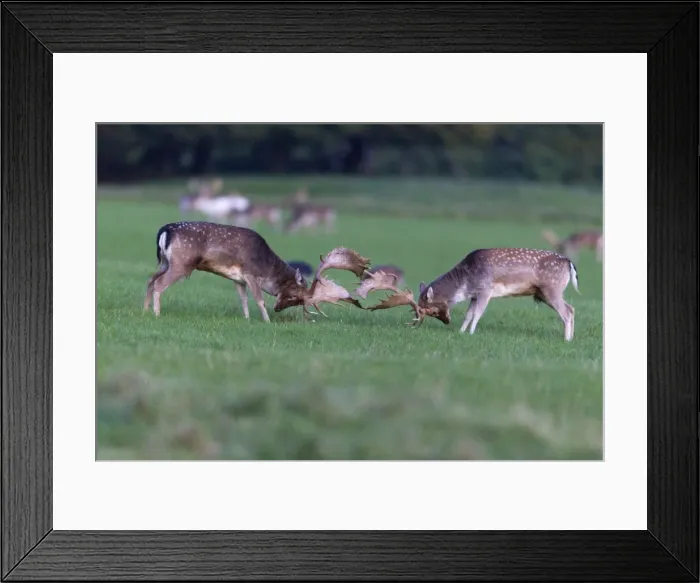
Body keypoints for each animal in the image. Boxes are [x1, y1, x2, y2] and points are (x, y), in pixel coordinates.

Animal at [143, 221, 368, 321]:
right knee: (159, 284)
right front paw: (266, 320)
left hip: (165, 262)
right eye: (295, 296)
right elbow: (259, 299)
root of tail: (164, 231)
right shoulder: (250, 273)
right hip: (181, 263)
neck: (266, 265)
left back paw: (145, 309)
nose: (278, 309)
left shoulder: (237, 279)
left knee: (150, 280)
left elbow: (243, 299)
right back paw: (156, 313)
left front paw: (247, 319)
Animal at [359, 248, 580, 341]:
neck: (465, 282)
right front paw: (461, 332)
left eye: (427, 309)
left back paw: (567, 339)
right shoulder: (475, 294)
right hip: (544, 293)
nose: (446, 321)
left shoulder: (486, 289)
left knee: (567, 311)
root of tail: (569, 263)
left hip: (551, 289)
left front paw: (472, 332)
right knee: (571, 308)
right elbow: (468, 314)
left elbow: (478, 314)